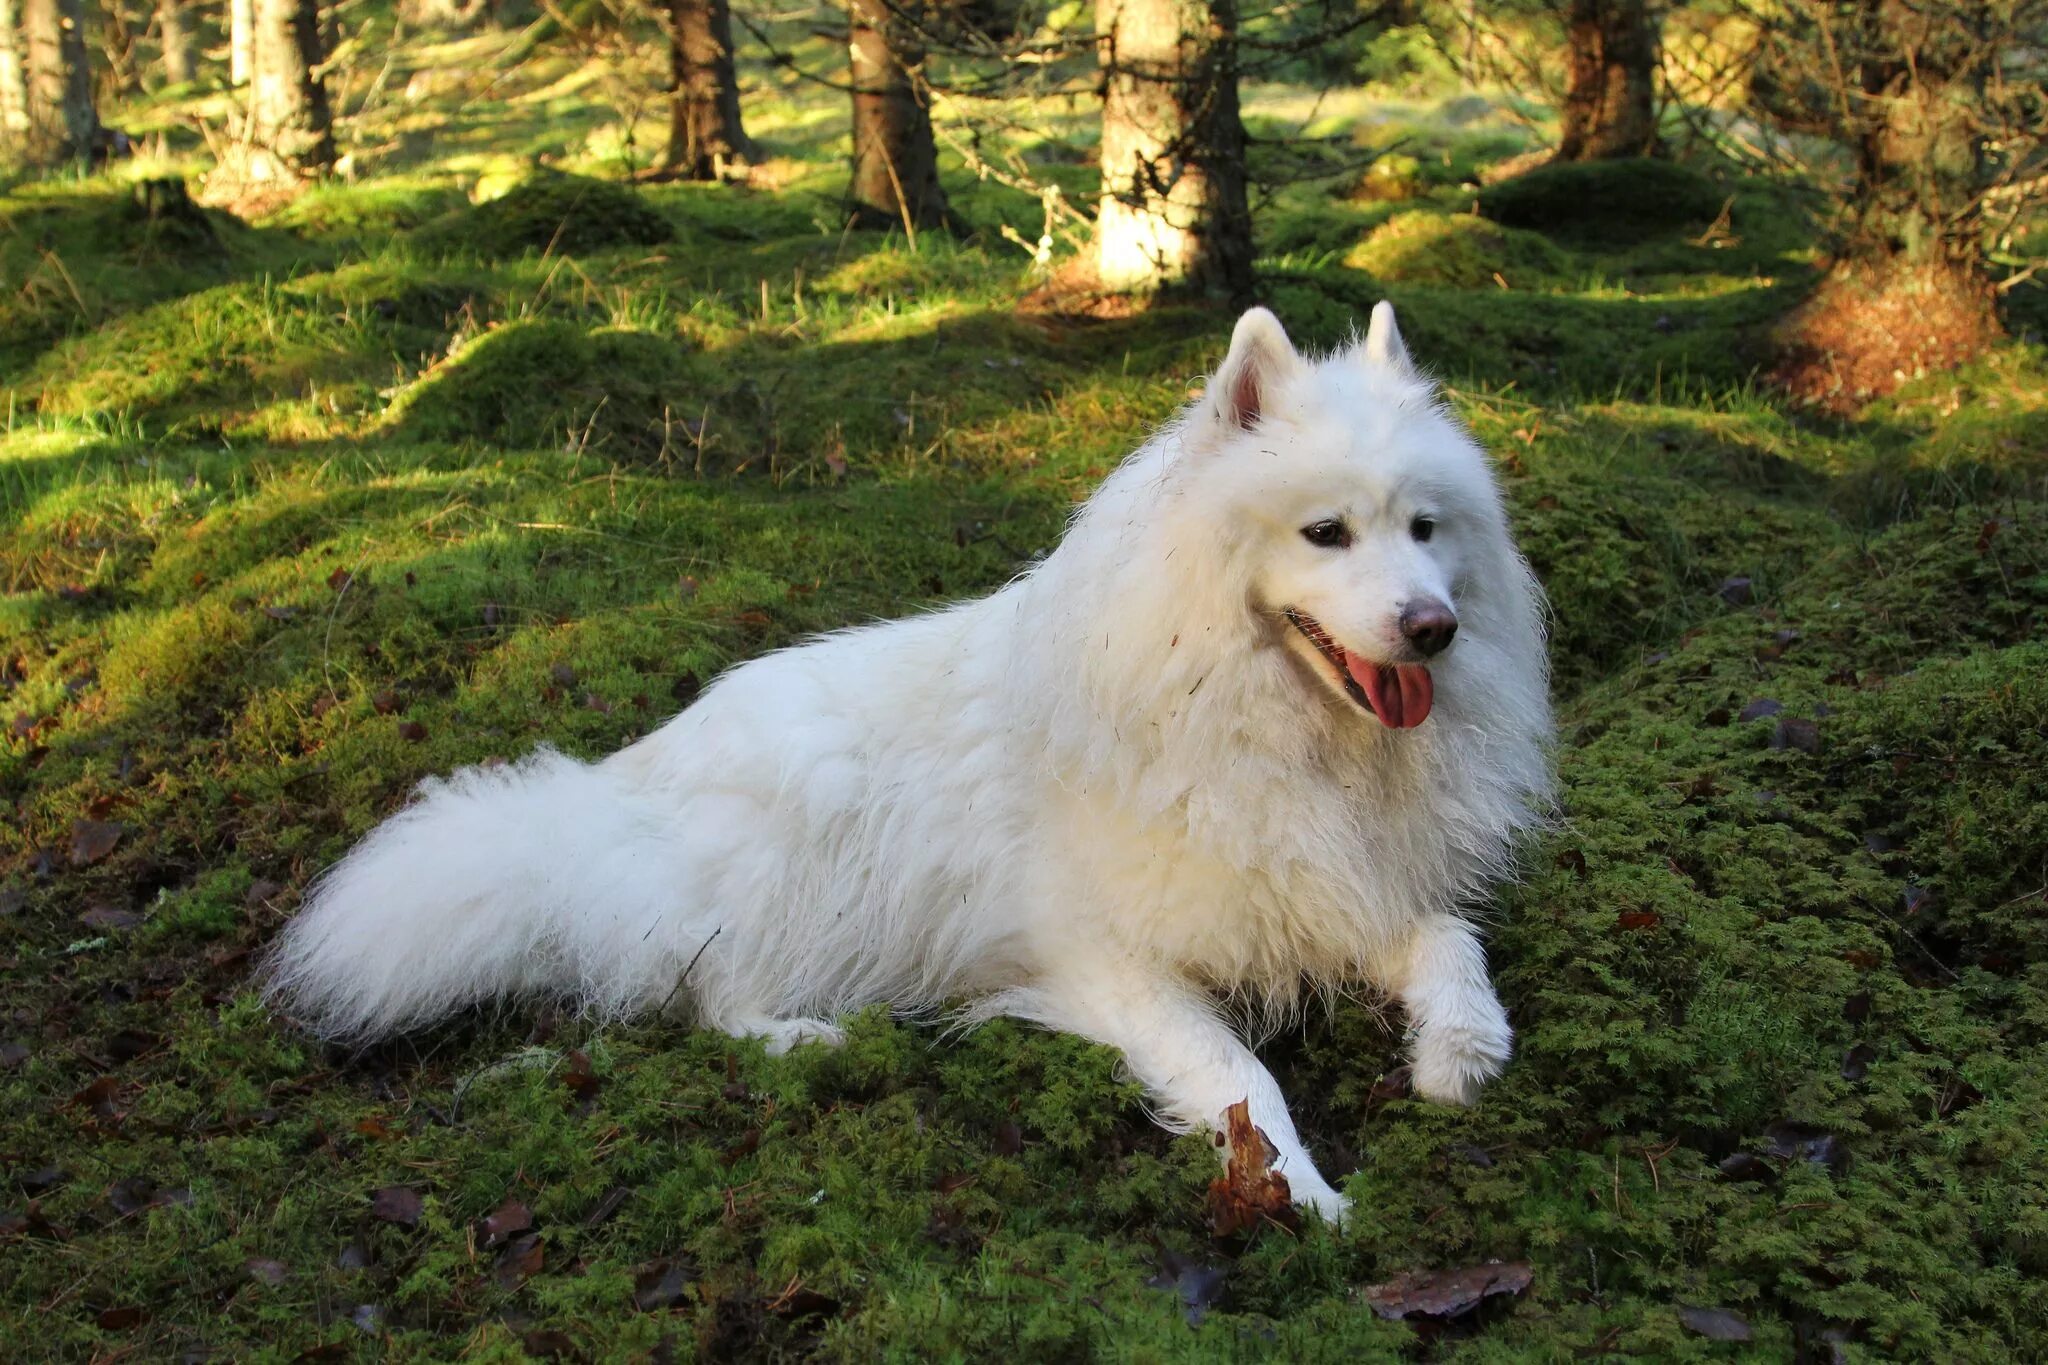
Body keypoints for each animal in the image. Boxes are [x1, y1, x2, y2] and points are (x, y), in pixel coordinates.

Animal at [268, 304, 1548, 1219]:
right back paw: (804, 1036)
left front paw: (1460, 1052)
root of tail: (609, 799)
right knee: (701, 991)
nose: (1431, 627)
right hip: (800, 858)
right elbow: (1242, 1077)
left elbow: (1448, 938)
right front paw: (1304, 1193)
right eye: (1324, 532)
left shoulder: (1337, 883)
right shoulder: (1109, 958)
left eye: (1423, 529)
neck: (1272, 727)